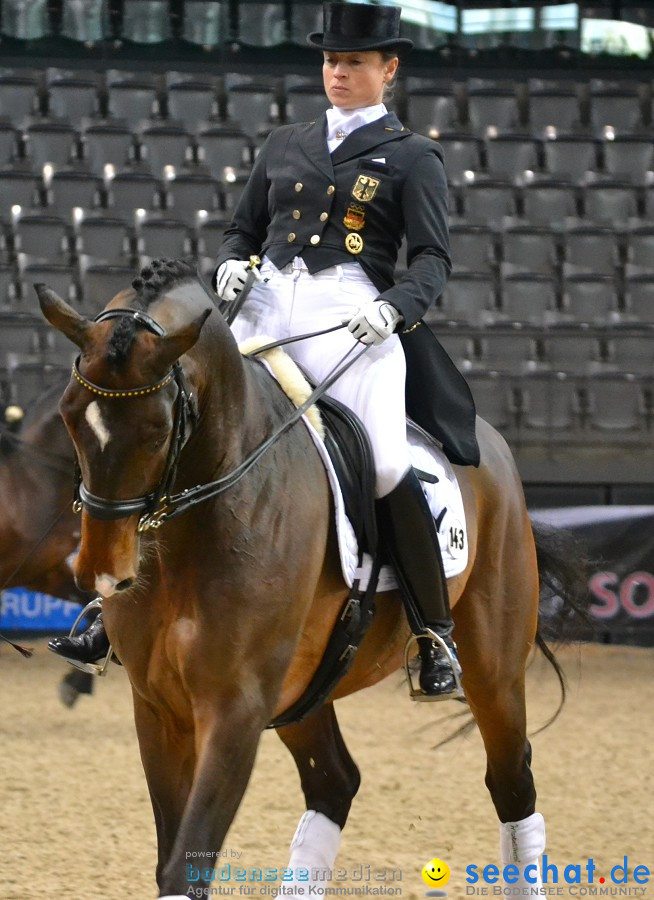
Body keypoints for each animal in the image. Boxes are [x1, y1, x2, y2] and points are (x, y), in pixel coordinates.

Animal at [34, 258, 580, 900]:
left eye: (156, 430)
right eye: (70, 415)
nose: (102, 572)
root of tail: (490, 445)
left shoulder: (235, 707)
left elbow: (186, 862)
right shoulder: (159, 707)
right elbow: (174, 858)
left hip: (493, 671)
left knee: (511, 783)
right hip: (303, 690)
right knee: (334, 782)